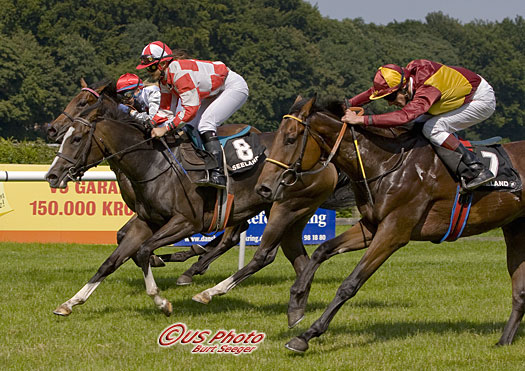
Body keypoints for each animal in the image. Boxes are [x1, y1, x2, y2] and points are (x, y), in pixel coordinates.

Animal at [46, 95, 340, 316]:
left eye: (76, 139)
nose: (52, 175)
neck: (153, 164)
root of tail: (326, 160)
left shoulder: (187, 221)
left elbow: (143, 252)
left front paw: (161, 301)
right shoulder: (145, 222)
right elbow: (110, 261)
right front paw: (70, 302)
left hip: (285, 208)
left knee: (262, 255)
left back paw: (208, 290)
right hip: (289, 214)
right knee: (300, 260)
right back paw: (298, 306)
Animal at [254, 96, 524, 352]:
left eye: (290, 139)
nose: (263, 188)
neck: (383, 163)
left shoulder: (394, 231)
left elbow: (350, 283)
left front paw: (306, 336)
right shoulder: (371, 226)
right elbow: (322, 250)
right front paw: (296, 304)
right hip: (515, 229)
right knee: (519, 292)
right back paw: (504, 341)